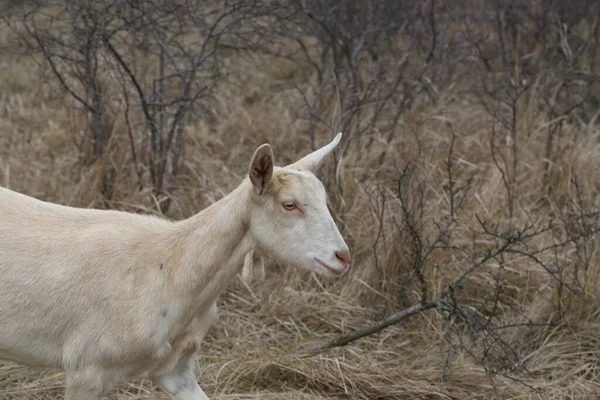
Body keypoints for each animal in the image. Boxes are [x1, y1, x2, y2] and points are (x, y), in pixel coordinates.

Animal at [0, 134, 350, 400]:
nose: (343, 256)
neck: (172, 271)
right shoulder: (86, 369)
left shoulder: (175, 367)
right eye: (290, 205)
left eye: (325, 199)